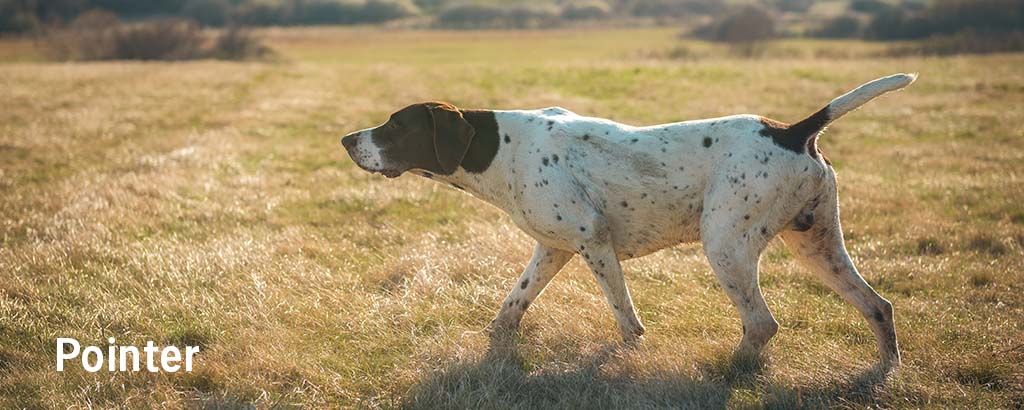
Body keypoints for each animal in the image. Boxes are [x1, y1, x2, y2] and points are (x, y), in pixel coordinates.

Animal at [339, 72, 917, 369]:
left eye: (395, 125)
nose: (346, 140)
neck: (501, 148)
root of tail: (794, 130)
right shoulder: (552, 249)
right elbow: (511, 304)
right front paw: (495, 342)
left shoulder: (592, 240)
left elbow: (623, 315)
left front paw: (629, 351)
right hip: (819, 246)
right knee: (879, 306)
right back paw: (886, 372)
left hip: (725, 244)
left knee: (761, 323)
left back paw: (725, 372)